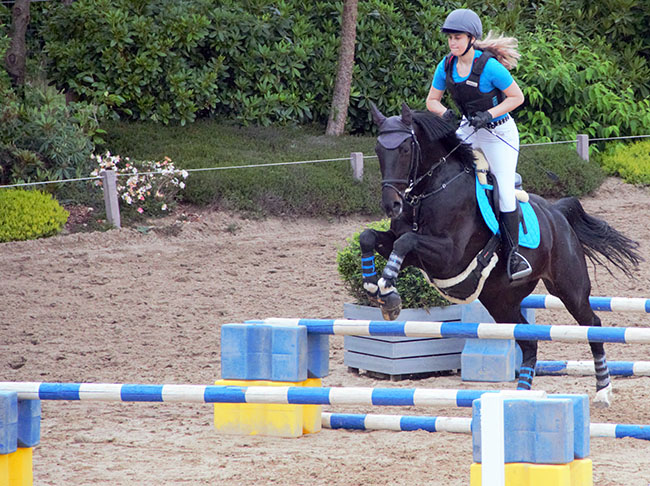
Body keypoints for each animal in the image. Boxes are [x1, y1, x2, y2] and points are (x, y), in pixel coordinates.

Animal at [360, 102, 642, 407]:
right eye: (377, 150)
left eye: (405, 149)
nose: (391, 205)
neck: (431, 191)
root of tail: (557, 213)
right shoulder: (415, 252)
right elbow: (370, 237)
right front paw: (374, 287)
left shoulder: (448, 256)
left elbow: (406, 241)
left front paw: (388, 290)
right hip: (501, 301)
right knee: (529, 341)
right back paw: (523, 395)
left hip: (569, 288)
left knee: (593, 325)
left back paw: (602, 389)